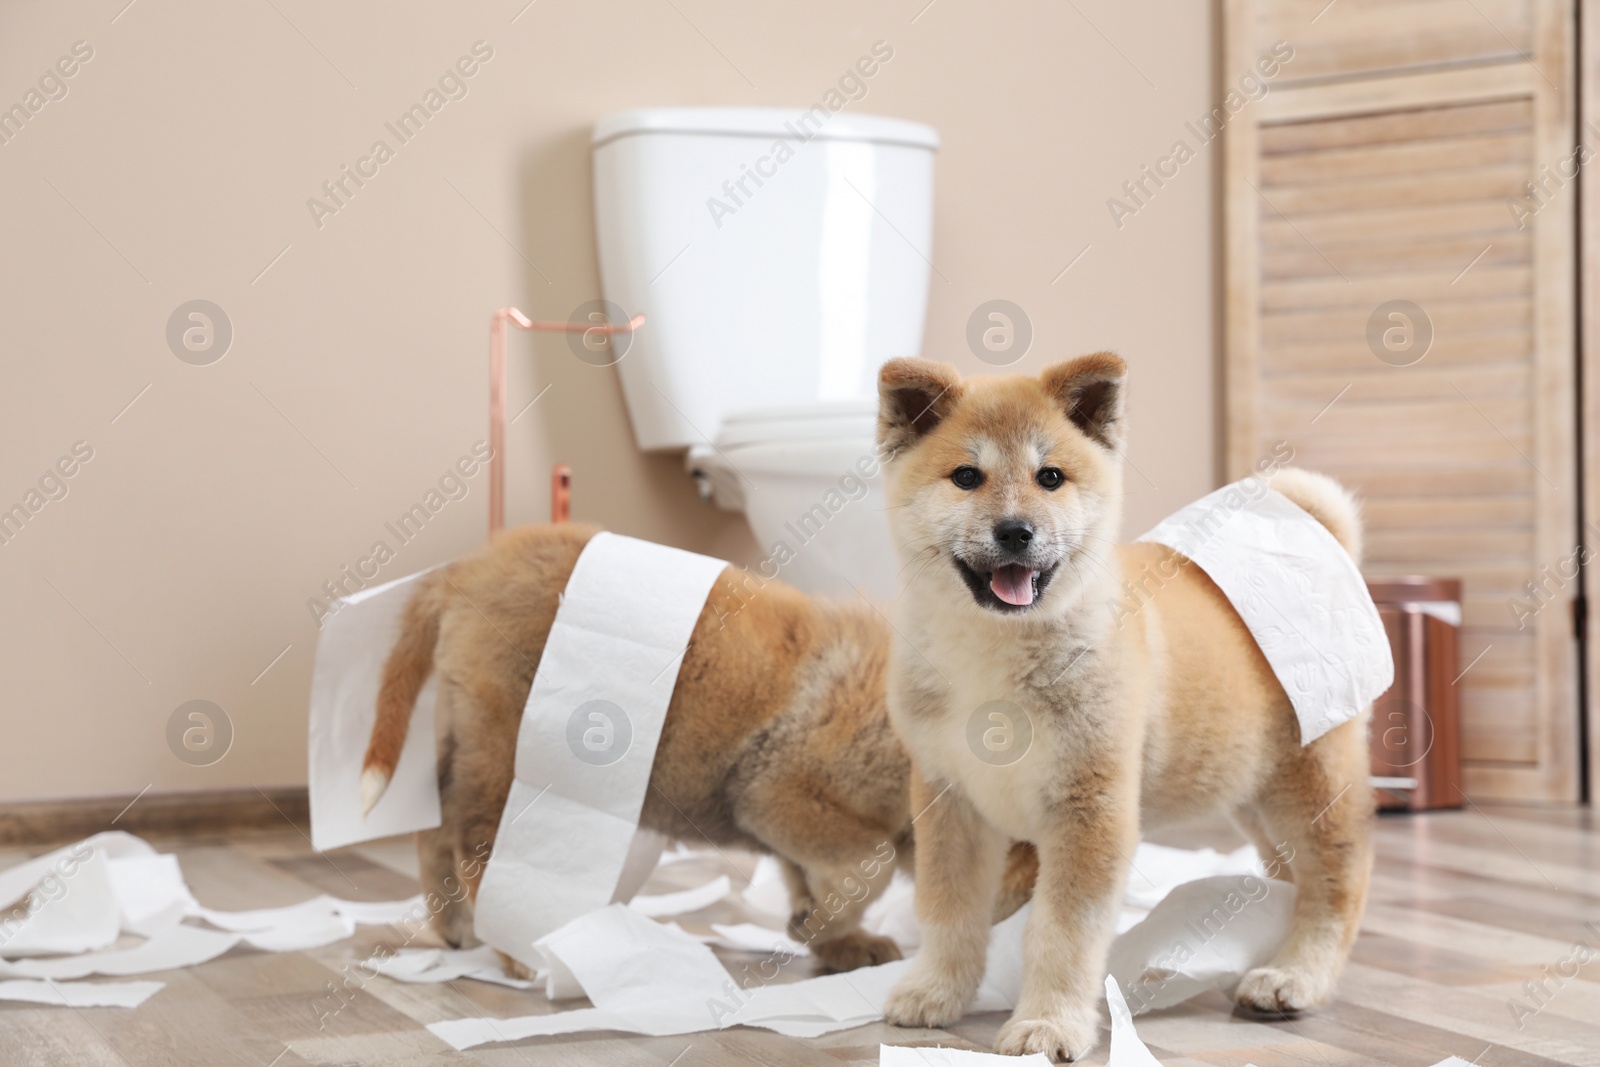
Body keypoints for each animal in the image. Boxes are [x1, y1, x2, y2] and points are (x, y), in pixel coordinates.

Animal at [356, 524, 1036, 979]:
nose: (1015, 914)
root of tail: (464, 569)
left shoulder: (784, 826)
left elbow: (813, 879)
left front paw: (832, 937)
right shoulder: (776, 793)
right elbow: (863, 863)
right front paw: (828, 926)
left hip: (467, 736)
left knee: (435, 824)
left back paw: (454, 931)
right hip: (507, 757)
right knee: (474, 840)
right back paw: (515, 950)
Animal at [876, 356, 1376, 1062]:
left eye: (1050, 477)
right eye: (967, 477)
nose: (1016, 531)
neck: (996, 651)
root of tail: (1326, 545)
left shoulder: (1090, 812)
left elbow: (1062, 935)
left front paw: (1050, 1023)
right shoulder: (951, 800)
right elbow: (948, 911)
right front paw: (936, 990)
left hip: (1310, 782)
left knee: (1339, 876)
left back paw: (1296, 975)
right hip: (1254, 789)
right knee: (1291, 872)